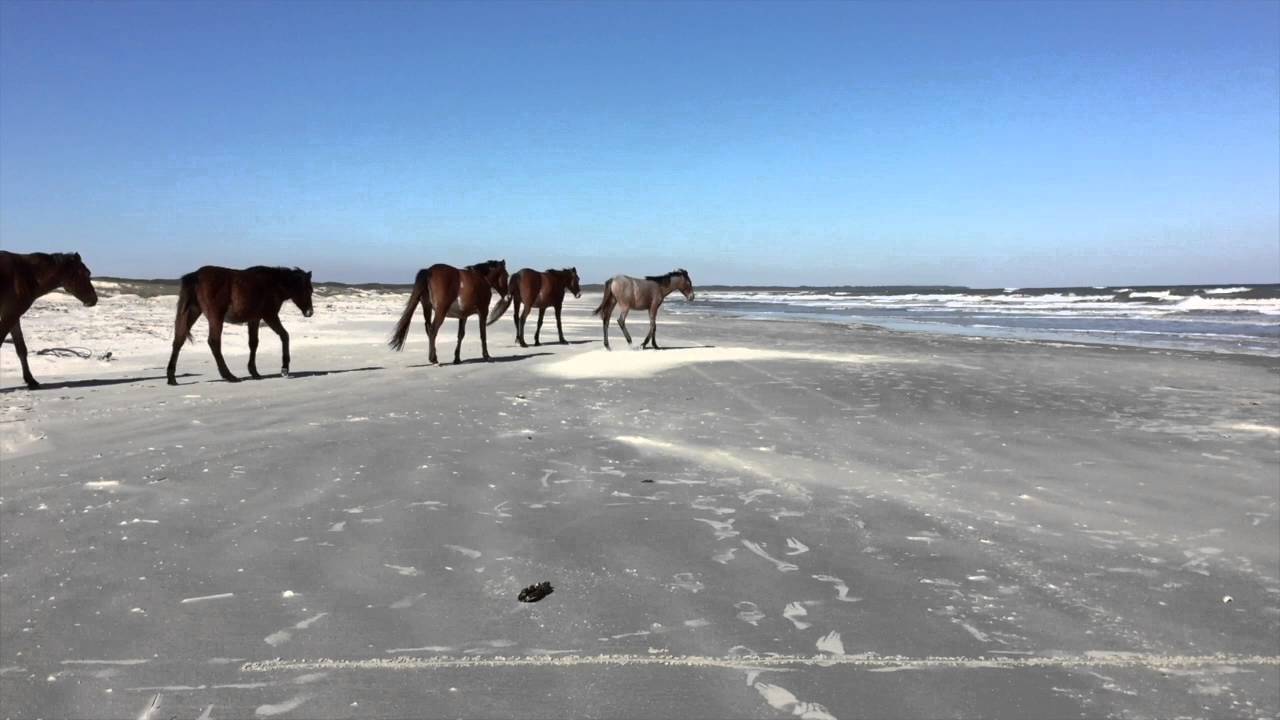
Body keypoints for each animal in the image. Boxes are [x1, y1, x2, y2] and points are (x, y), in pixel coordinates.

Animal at [0, 251, 98, 386]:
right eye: (86, 273)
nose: (94, 299)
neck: (26, 274)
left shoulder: (13, 316)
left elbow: (21, 349)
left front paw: (30, 380)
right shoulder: (10, 314)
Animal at [166, 265, 313, 386]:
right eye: (309, 290)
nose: (310, 312)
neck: (273, 283)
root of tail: (196, 275)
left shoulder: (254, 319)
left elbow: (253, 343)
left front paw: (254, 372)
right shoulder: (269, 316)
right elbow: (284, 336)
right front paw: (284, 369)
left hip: (192, 312)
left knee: (178, 340)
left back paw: (172, 378)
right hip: (215, 317)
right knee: (214, 342)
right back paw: (229, 376)